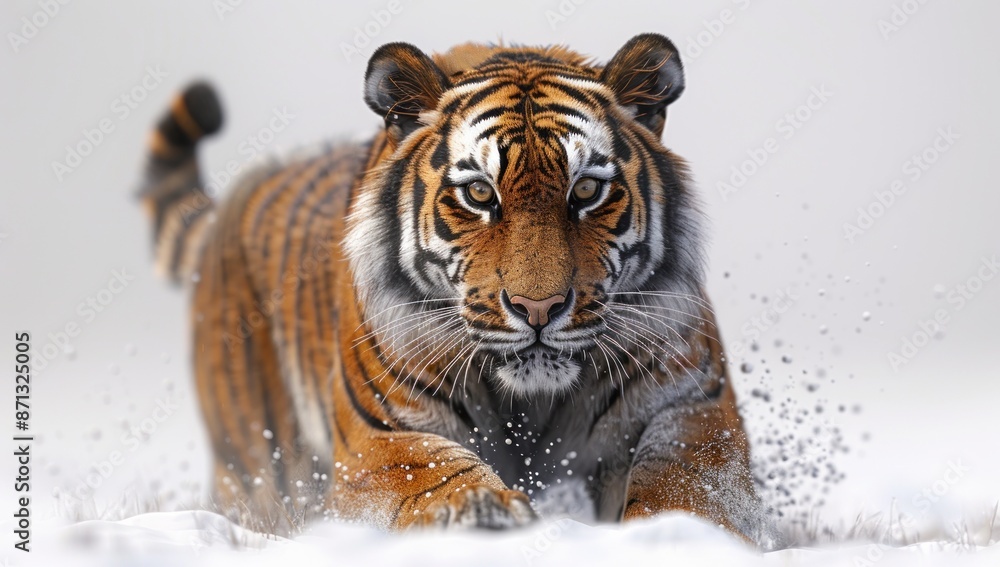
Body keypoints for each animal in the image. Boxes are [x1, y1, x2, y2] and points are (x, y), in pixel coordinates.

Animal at [137, 33, 770, 541]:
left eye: (587, 191)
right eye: (480, 193)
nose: (538, 308)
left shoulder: (692, 403)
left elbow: (684, 481)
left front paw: (676, 531)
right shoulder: (382, 436)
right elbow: (435, 473)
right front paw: (483, 511)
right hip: (257, 465)